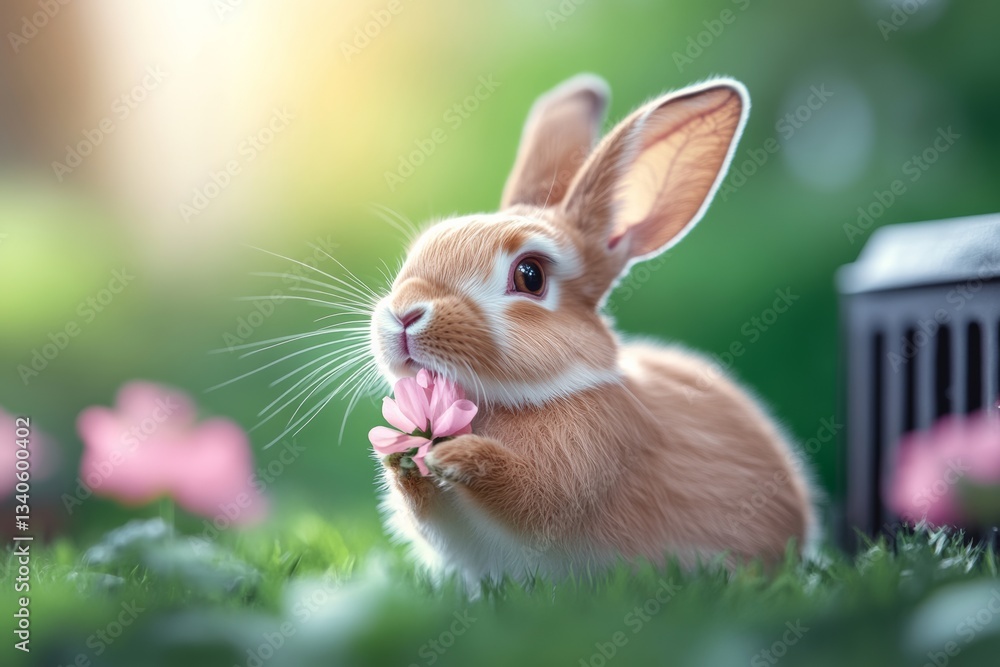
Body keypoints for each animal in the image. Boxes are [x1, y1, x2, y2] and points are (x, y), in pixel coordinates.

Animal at [368, 74, 816, 585]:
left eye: (530, 276)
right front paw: (400, 459)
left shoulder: (586, 462)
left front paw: (455, 457)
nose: (404, 315)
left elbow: (525, 495)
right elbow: (430, 516)